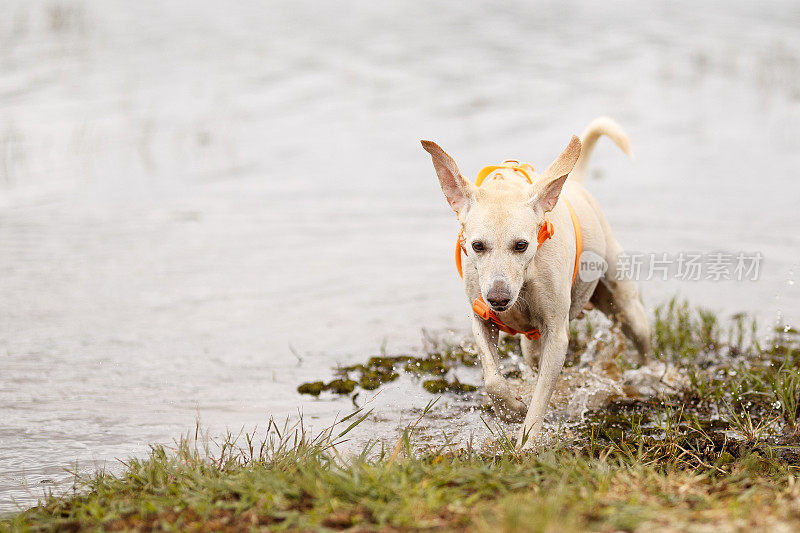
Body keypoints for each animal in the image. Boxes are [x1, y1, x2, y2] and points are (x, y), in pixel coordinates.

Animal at [418, 118, 648, 446]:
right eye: (477, 246)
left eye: (521, 245)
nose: (498, 298)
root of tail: (575, 182)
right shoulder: (480, 317)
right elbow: (492, 379)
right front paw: (511, 409)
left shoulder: (556, 335)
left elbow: (541, 397)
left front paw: (525, 444)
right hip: (529, 343)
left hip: (625, 306)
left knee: (643, 344)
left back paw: (652, 378)